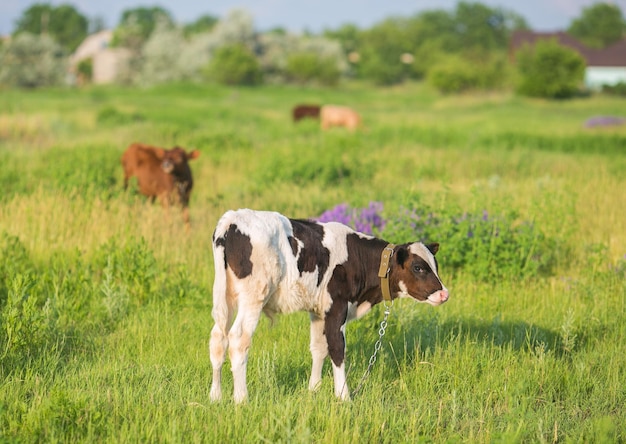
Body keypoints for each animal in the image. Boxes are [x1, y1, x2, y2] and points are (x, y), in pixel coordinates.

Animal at [210, 208, 448, 402]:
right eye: (418, 267)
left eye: (435, 265)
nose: (444, 294)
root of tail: (232, 219)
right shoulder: (337, 307)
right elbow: (337, 348)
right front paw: (343, 395)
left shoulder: (319, 311)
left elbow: (318, 347)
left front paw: (313, 389)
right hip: (254, 295)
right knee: (238, 338)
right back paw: (241, 399)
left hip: (225, 296)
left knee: (218, 338)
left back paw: (216, 397)